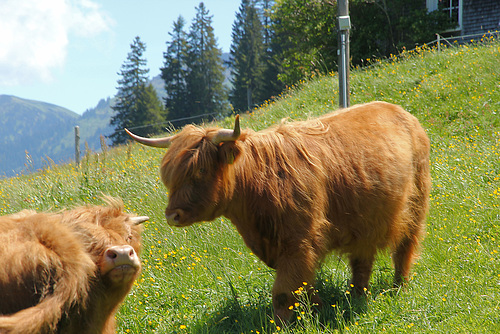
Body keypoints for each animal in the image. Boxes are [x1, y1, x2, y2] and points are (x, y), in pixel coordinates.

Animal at [125, 100, 430, 322]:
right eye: (168, 177)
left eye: (199, 170)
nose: (171, 215)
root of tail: (400, 111)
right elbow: (303, 283)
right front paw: (318, 305)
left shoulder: (299, 242)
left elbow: (284, 290)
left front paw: (285, 323)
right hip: (365, 220)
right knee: (362, 261)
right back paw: (356, 296)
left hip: (416, 204)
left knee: (405, 247)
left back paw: (399, 286)